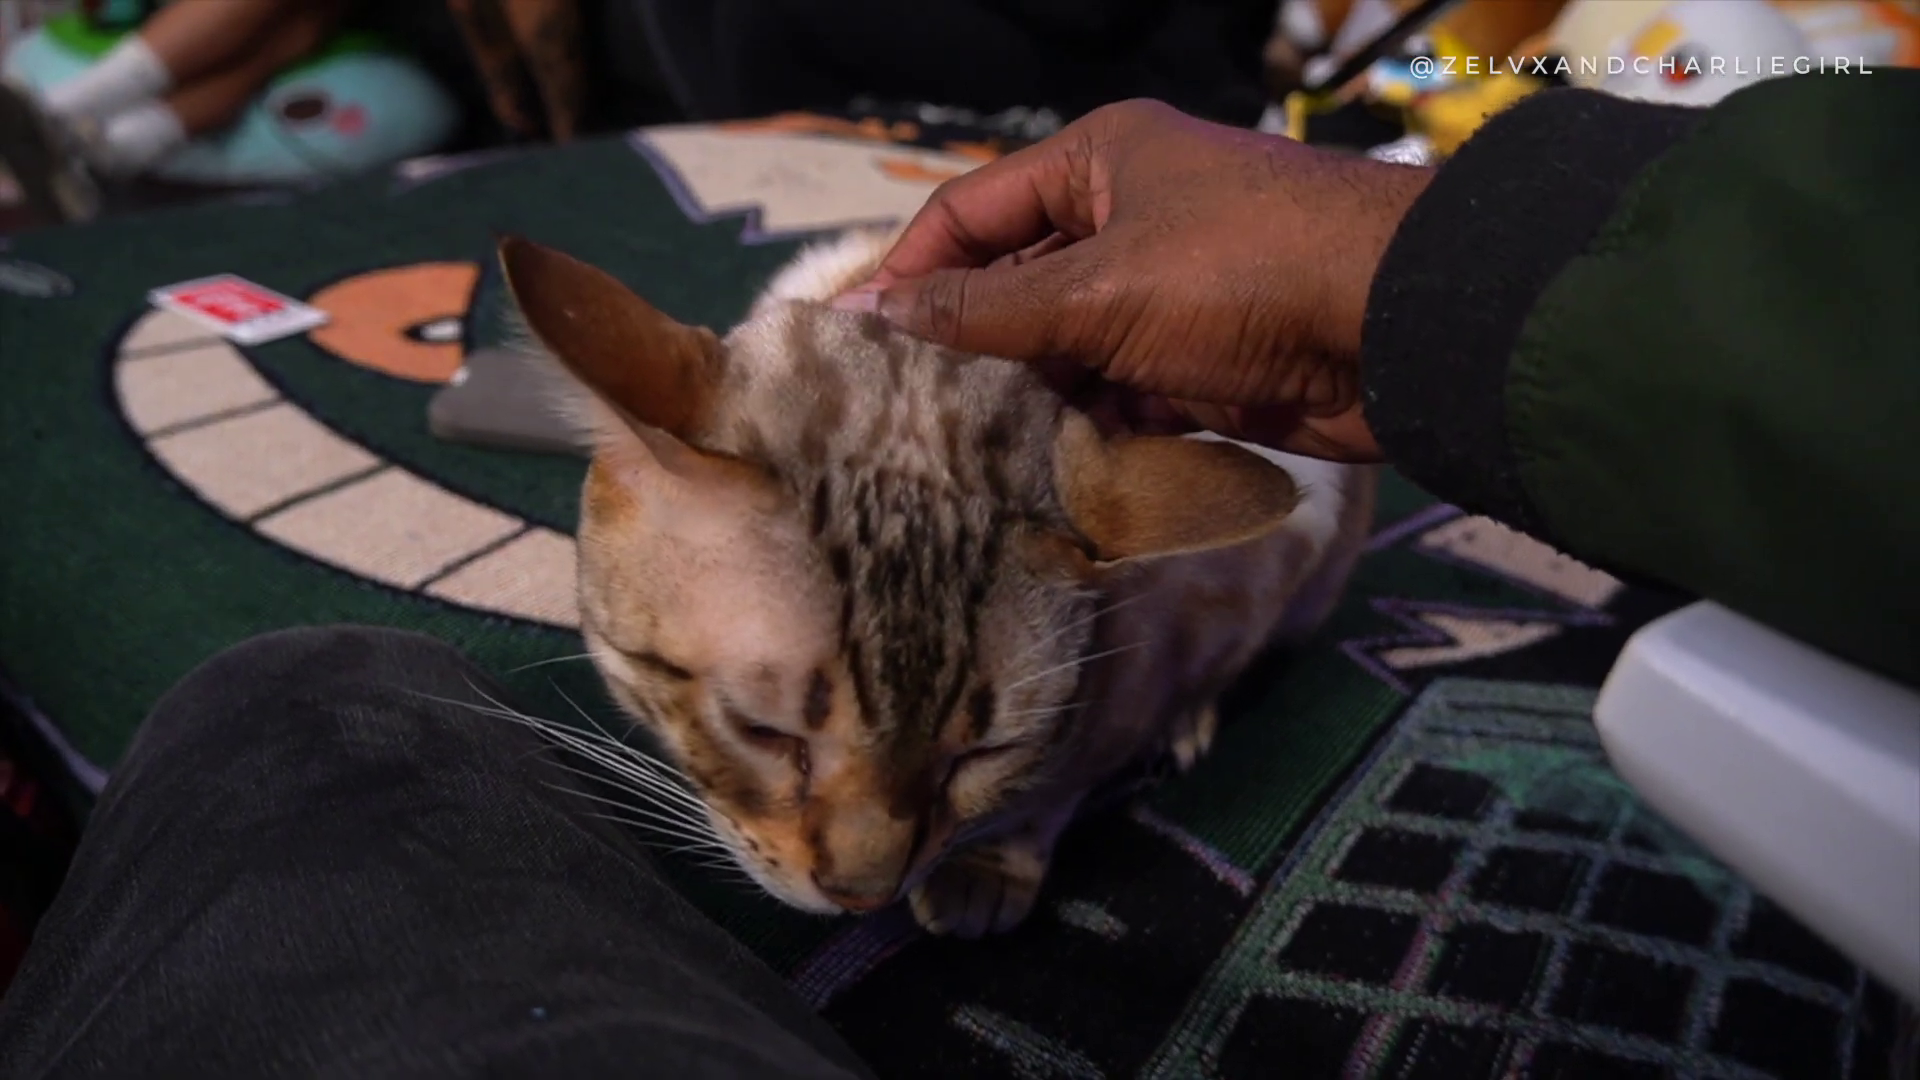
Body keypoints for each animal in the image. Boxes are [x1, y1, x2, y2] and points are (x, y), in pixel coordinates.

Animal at [499, 227, 1377, 938]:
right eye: (763, 733)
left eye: (984, 753)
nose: (862, 896)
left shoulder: (1149, 663)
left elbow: (1056, 788)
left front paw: (988, 868)